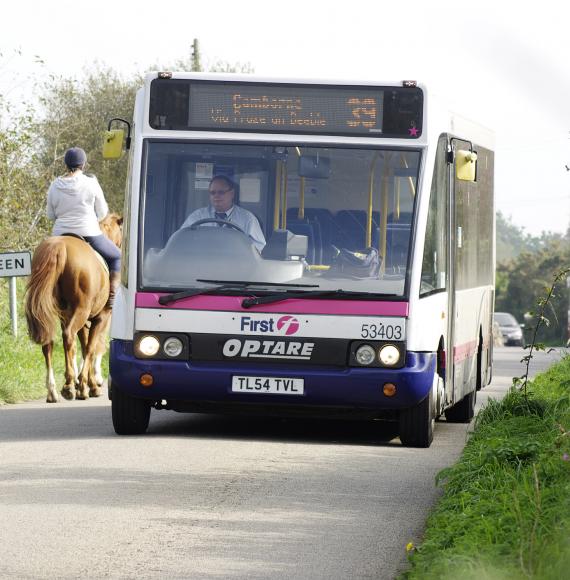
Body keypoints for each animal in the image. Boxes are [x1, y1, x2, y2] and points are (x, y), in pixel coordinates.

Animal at [25, 214, 122, 404]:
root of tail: (59, 246)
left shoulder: (79, 320)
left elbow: (83, 347)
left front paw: (88, 384)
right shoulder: (101, 318)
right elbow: (91, 348)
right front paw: (88, 386)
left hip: (53, 312)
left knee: (49, 343)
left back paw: (53, 391)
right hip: (81, 312)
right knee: (69, 336)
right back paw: (69, 385)